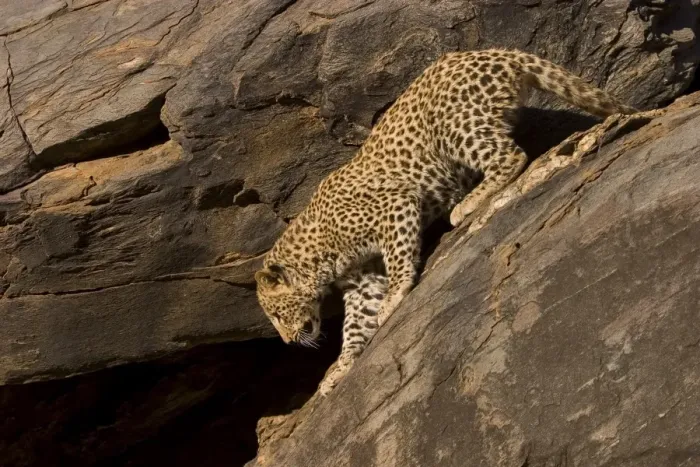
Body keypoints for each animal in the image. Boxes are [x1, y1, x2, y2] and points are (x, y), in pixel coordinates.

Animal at [255, 48, 636, 396]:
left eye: (277, 314)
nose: (288, 341)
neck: (318, 256)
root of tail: (496, 51)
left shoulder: (395, 206)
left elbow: (399, 260)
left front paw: (395, 296)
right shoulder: (362, 279)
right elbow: (355, 323)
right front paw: (340, 367)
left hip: (454, 127)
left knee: (511, 156)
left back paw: (467, 204)